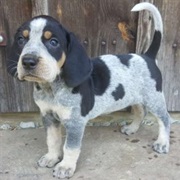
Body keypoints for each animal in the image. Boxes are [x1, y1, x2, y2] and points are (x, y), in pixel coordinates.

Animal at [7, 2, 172, 179]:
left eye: (53, 42)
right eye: (21, 39)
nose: (28, 61)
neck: (52, 89)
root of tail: (147, 56)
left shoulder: (75, 122)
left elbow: (70, 148)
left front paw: (65, 166)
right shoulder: (48, 116)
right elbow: (52, 140)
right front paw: (52, 157)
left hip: (154, 98)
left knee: (165, 118)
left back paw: (162, 143)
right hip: (135, 97)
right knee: (141, 112)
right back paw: (132, 128)